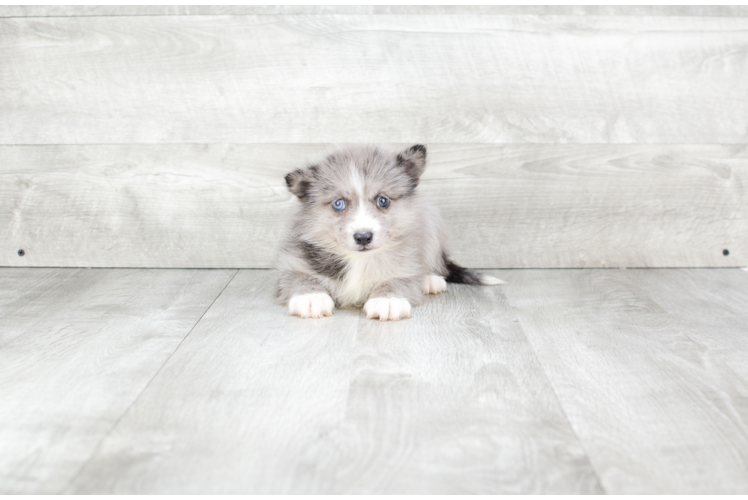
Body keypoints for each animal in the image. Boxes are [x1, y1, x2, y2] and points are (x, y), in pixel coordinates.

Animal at [274, 143, 502, 320]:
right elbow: (300, 278)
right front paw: (310, 297)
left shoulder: (406, 264)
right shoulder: (290, 263)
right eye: (338, 203)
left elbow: (397, 280)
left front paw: (388, 300)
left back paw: (430, 280)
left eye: (382, 200)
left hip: (431, 223)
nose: (363, 237)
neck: (359, 261)